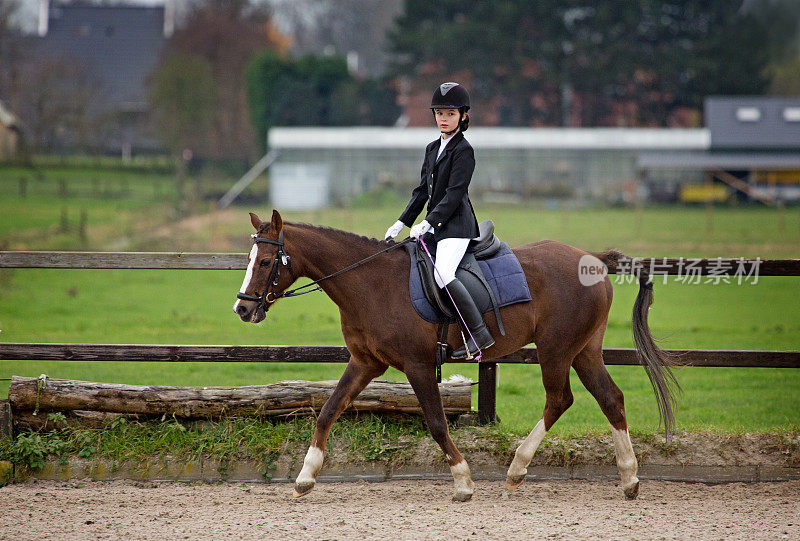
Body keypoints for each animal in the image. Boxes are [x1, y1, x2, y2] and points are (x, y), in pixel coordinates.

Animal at [234, 211, 680, 502]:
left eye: (268, 261)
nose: (241, 309)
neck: (370, 282)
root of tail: (593, 259)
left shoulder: (417, 366)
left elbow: (435, 422)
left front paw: (463, 482)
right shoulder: (365, 363)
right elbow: (328, 410)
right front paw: (305, 476)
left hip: (556, 349)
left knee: (560, 399)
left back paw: (517, 469)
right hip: (583, 349)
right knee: (610, 398)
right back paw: (628, 479)